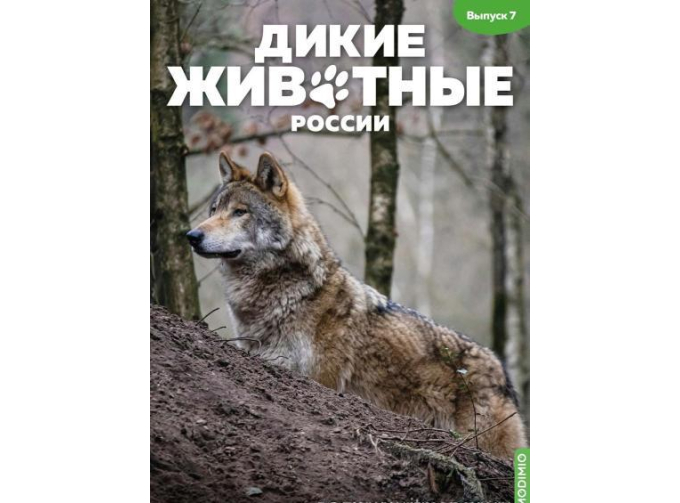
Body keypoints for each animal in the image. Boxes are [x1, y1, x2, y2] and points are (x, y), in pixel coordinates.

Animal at [187, 151, 527, 459]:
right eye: (214, 209)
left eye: (240, 212)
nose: (191, 235)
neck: (288, 292)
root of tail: (502, 373)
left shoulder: (320, 379)